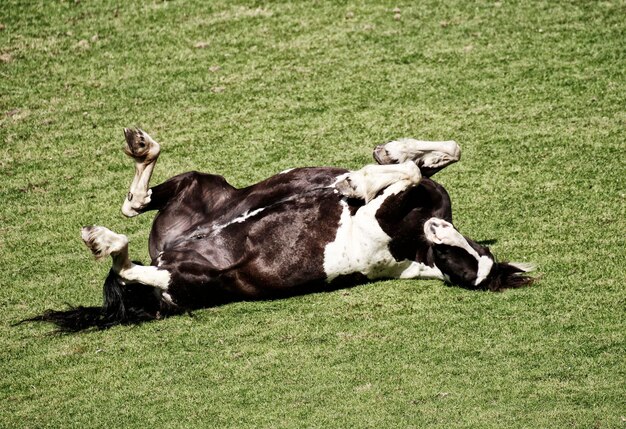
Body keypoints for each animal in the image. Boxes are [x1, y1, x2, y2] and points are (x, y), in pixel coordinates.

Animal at [28, 128, 532, 332]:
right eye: (467, 251)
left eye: (465, 265)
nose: (437, 227)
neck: (415, 248)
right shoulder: (418, 195)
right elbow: (435, 158)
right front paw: (381, 157)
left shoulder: (386, 217)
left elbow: (410, 171)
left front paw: (358, 179)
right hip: (200, 188)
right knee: (135, 203)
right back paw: (140, 145)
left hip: (188, 277)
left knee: (130, 262)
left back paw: (103, 239)